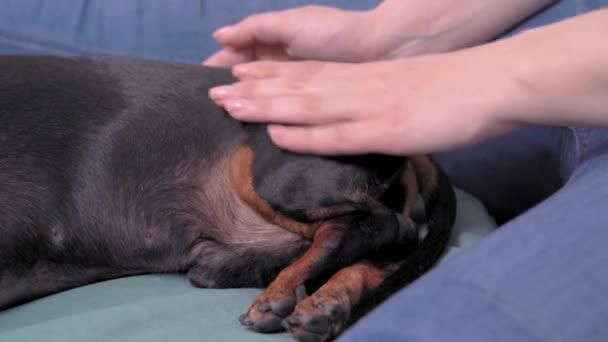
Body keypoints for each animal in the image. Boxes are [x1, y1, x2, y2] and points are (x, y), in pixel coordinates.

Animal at [0, 56, 456, 342]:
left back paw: (284, 292)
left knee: (383, 226)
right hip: (219, 257)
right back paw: (328, 303)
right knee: (387, 251)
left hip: (275, 175)